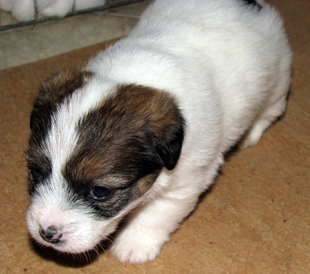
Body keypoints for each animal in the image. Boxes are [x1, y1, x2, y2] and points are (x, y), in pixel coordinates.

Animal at [25, 0, 292, 266]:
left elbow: (154, 215)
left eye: (100, 191)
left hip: (277, 84)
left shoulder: (182, 185)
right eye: (36, 172)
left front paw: (134, 244)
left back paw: (251, 132)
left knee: (271, 110)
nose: (47, 233)